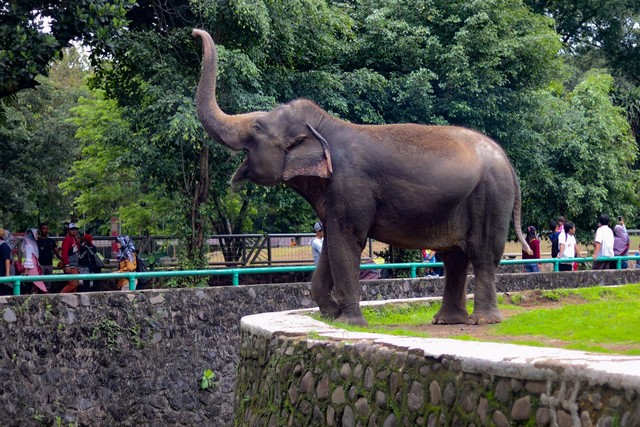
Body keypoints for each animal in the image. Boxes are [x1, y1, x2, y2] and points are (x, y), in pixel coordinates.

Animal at [191, 28, 528, 326]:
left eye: (258, 128)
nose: (194, 32)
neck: (325, 126)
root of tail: (507, 160)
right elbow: (332, 241)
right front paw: (330, 314)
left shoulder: (350, 185)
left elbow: (348, 240)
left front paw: (350, 321)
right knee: (454, 258)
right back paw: (446, 321)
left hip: (491, 197)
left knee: (482, 255)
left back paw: (482, 321)